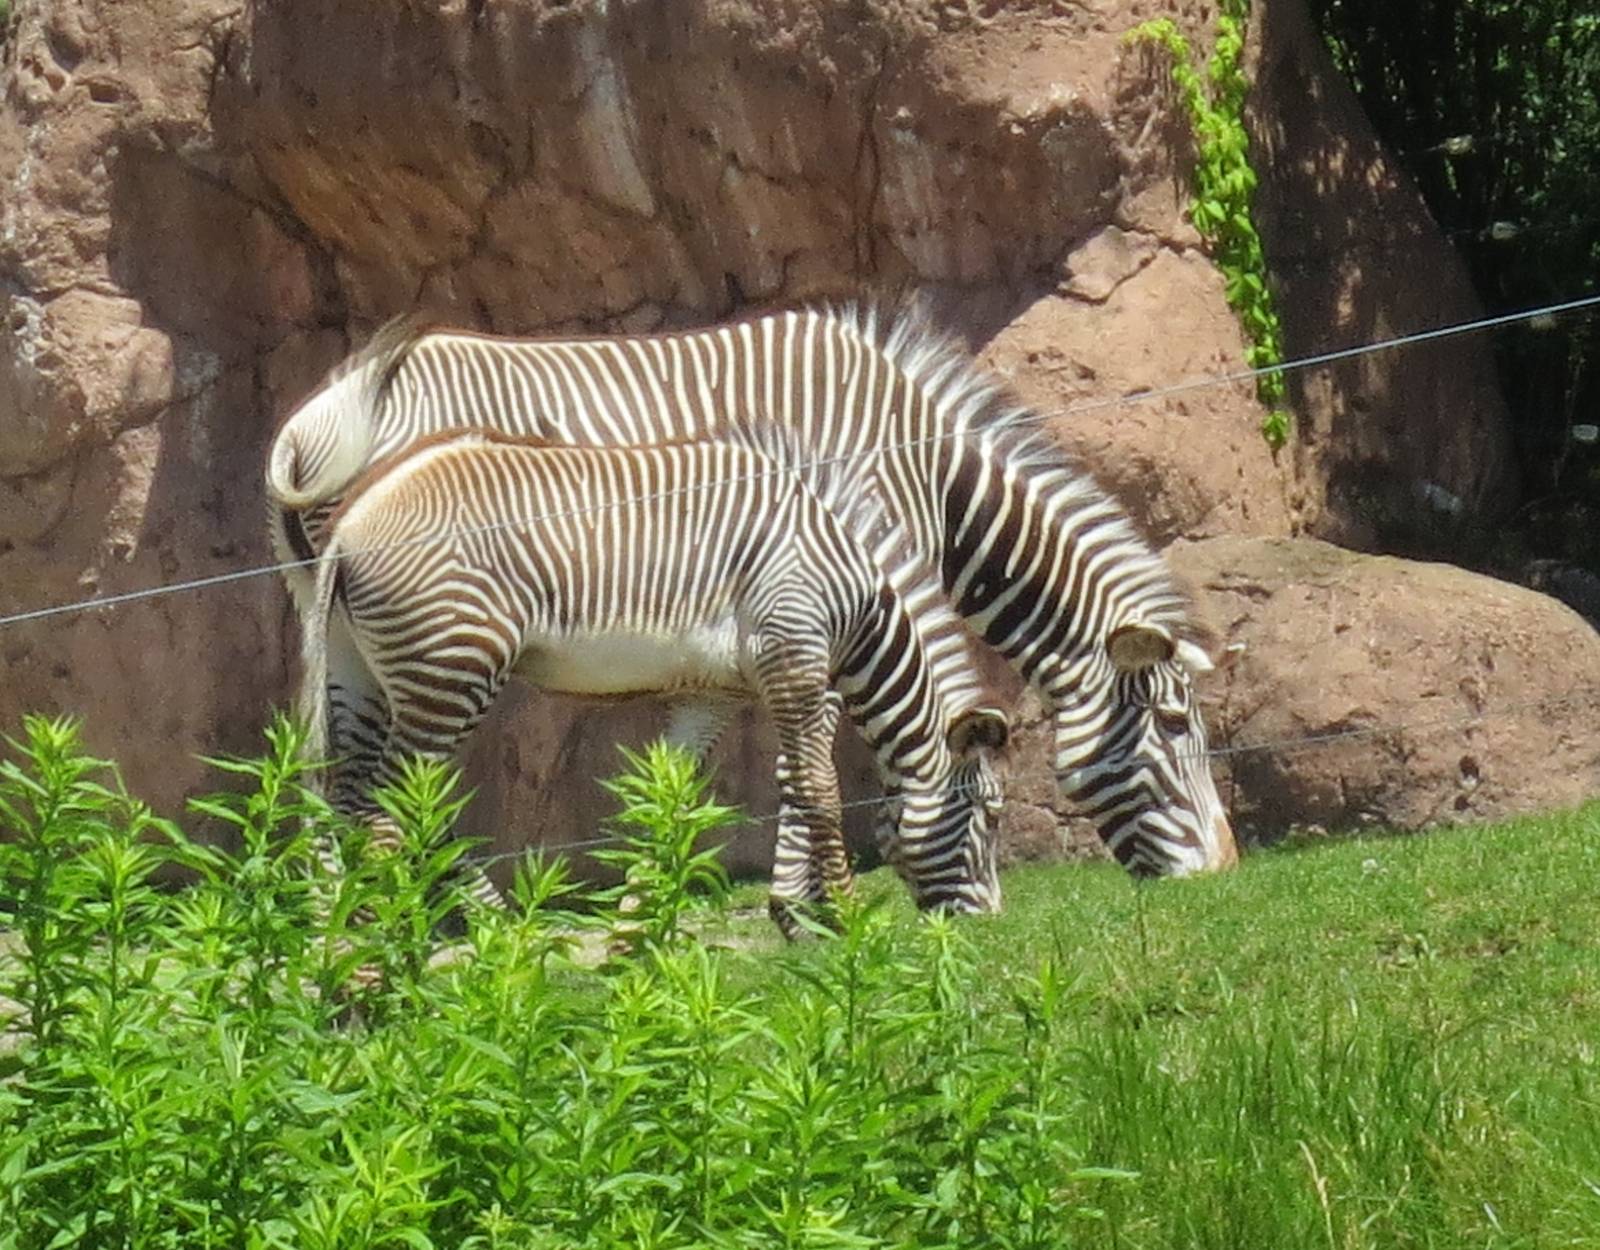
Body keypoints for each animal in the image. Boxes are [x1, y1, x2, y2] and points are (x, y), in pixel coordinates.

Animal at [269, 301, 1239, 879]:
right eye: (1175, 726)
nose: (1224, 872)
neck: (928, 469)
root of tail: (309, 424)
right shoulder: (849, 576)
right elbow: (828, 745)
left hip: (334, 627)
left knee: (342, 789)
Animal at [297, 426, 1011, 933]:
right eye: (989, 814)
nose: (990, 924)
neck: (856, 594)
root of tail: (354, 516)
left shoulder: (712, 691)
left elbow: (677, 791)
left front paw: (643, 923)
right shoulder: (796, 654)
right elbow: (818, 788)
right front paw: (845, 915)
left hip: (365, 678)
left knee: (354, 803)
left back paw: (358, 936)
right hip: (453, 668)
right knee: (395, 810)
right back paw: (399, 940)